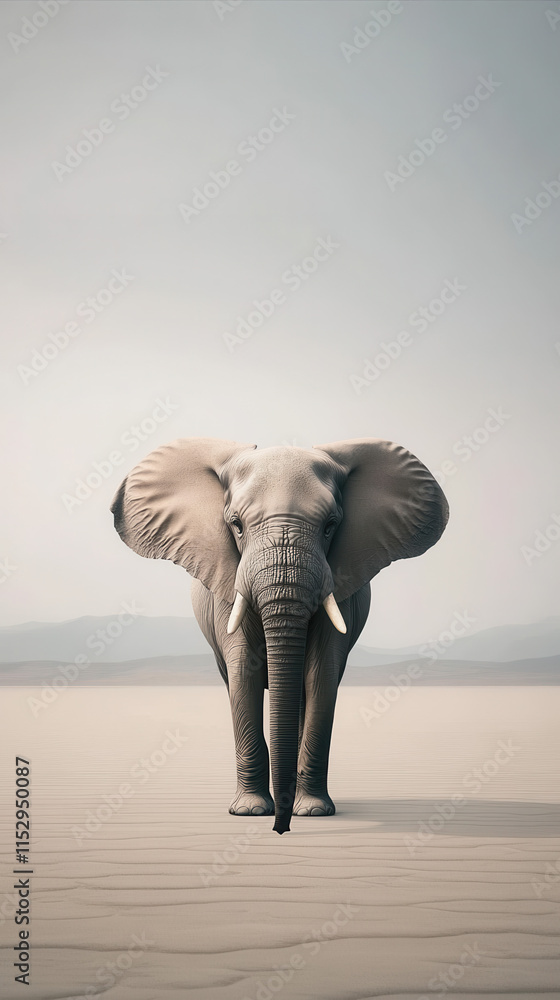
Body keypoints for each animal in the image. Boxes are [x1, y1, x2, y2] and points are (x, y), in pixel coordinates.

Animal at [110, 437, 449, 834]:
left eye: (330, 526)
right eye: (236, 525)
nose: (281, 830)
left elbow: (321, 674)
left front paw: (314, 812)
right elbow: (244, 672)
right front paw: (250, 811)